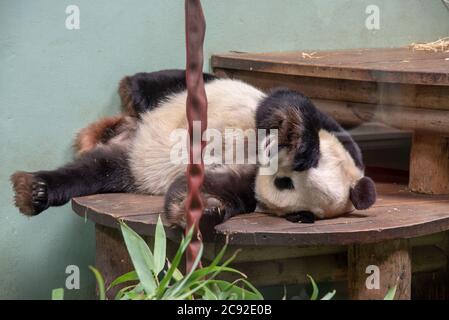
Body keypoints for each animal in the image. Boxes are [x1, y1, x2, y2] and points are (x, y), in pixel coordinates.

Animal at [9, 69, 374, 229]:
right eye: (286, 180)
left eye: (301, 215)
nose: (267, 192)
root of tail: (129, 133)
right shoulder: (330, 130)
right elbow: (283, 103)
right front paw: (300, 143)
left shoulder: (244, 181)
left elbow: (211, 188)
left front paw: (204, 210)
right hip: (183, 95)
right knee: (169, 82)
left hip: (129, 166)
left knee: (94, 170)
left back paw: (36, 190)